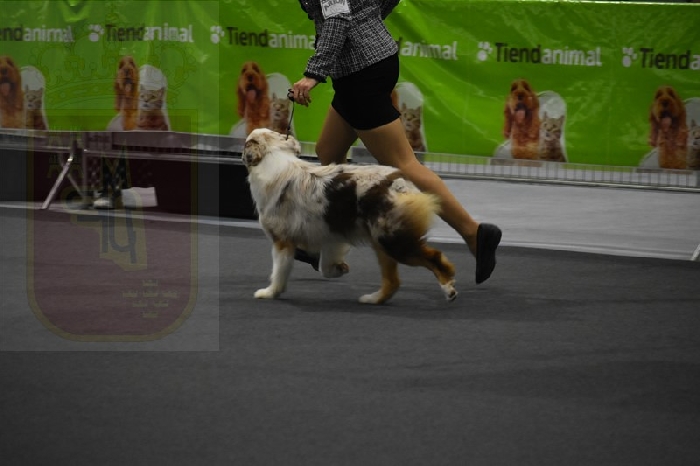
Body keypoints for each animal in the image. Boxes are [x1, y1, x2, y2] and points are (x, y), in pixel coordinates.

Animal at [242, 128, 457, 304]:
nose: (243, 156)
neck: (273, 158)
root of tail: (398, 182)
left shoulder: (282, 239)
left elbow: (279, 271)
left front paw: (270, 292)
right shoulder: (330, 235)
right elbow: (325, 266)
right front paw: (339, 268)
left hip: (392, 241)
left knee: (434, 258)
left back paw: (449, 289)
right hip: (380, 241)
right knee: (393, 281)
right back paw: (372, 299)